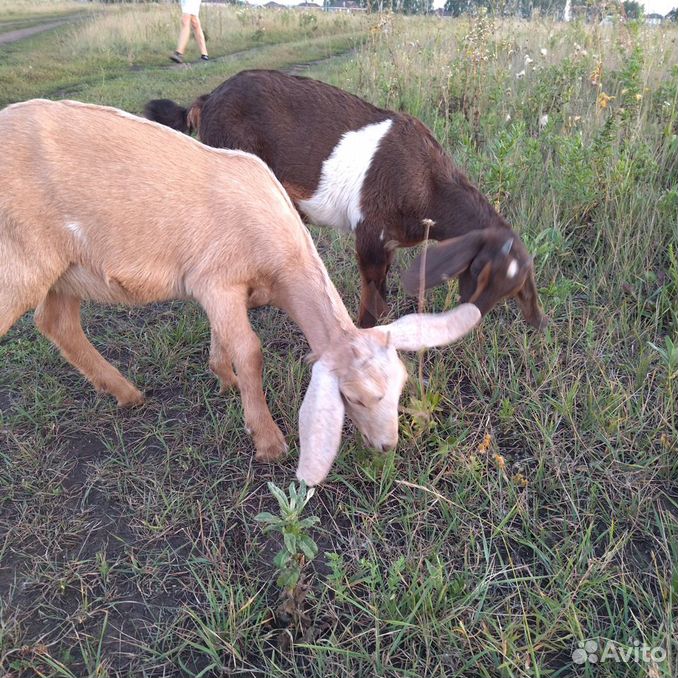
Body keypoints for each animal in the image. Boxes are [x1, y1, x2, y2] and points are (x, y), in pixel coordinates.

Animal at [0, 98, 484, 486]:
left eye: (401, 386)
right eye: (354, 398)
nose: (388, 447)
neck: (281, 264)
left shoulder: (223, 292)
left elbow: (225, 339)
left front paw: (223, 376)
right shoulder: (216, 280)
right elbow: (250, 351)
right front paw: (267, 439)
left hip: (63, 269)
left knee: (57, 323)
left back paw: (126, 393)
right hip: (20, 262)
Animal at [146, 70, 548, 330]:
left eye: (512, 292)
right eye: (478, 272)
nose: (468, 320)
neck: (430, 184)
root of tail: (208, 98)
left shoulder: (390, 243)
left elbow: (383, 294)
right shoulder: (370, 233)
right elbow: (371, 301)